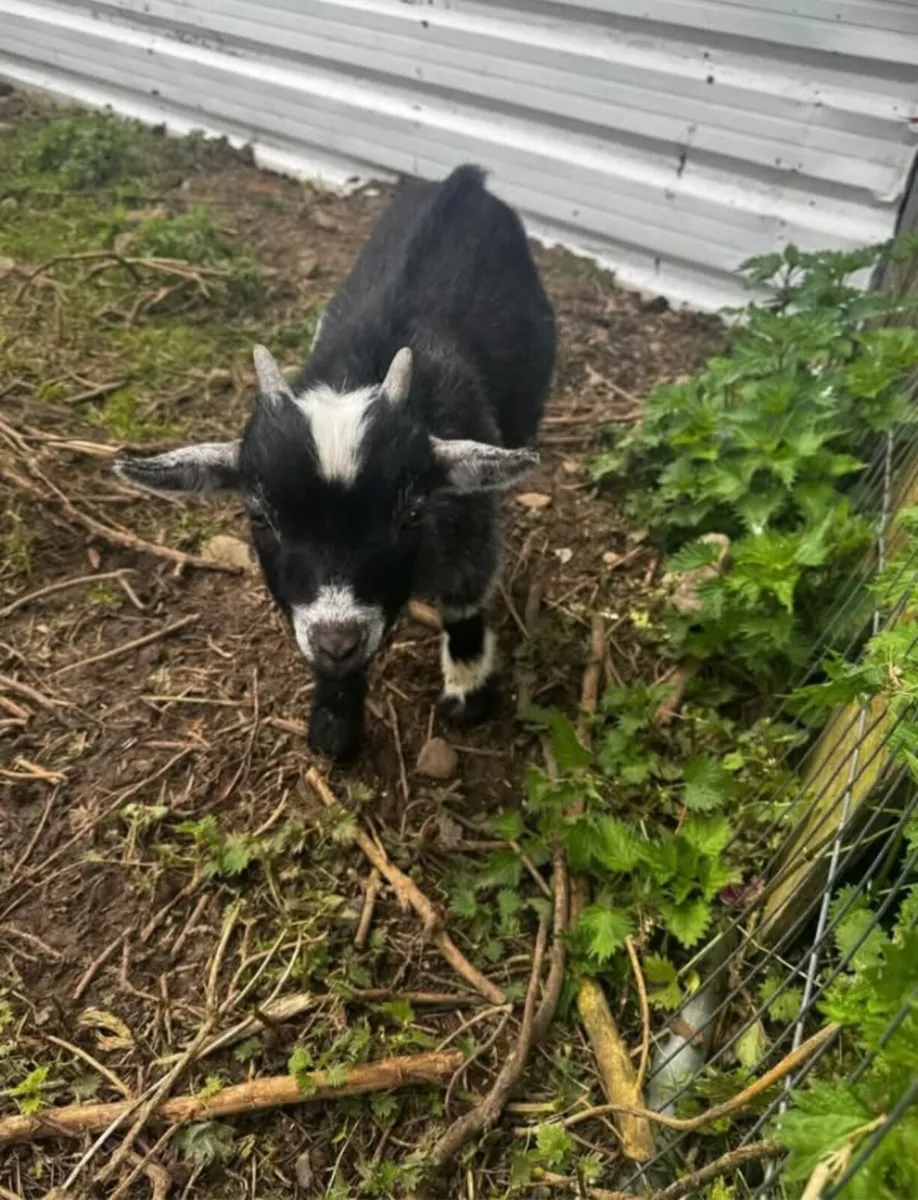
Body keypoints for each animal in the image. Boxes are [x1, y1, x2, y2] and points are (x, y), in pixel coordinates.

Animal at [114, 165, 556, 761]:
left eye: (411, 514)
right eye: (259, 515)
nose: (337, 639)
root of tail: (465, 181)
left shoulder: (469, 525)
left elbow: (465, 600)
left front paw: (467, 690)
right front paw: (333, 722)